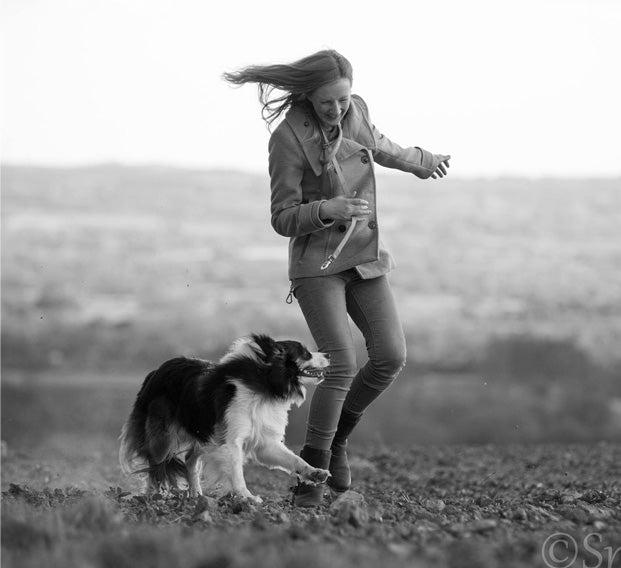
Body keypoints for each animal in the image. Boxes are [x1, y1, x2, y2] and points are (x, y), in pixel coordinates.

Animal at [117, 332, 330, 502]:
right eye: (306, 353)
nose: (328, 354)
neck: (266, 386)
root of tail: (155, 371)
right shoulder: (231, 441)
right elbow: (237, 472)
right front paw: (247, 497)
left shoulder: (264, 444)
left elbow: (294, 459)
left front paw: (315, 472)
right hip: (163, 439)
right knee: (156, 465)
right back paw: (153, 495)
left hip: (205, 435)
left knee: (189, 459)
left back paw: (196, 494)